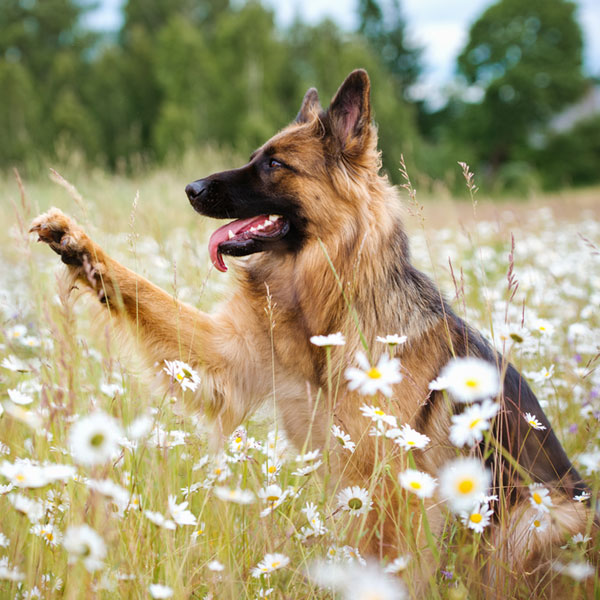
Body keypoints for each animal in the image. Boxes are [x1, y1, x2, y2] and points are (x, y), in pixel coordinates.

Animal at [29, 70, 592, 596]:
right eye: (254, 156)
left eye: (274, 165)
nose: (190, 189)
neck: (326, 310)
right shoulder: (229, 359)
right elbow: (141, 290)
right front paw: (77, 244)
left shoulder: (391, 489)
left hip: (540, 517)